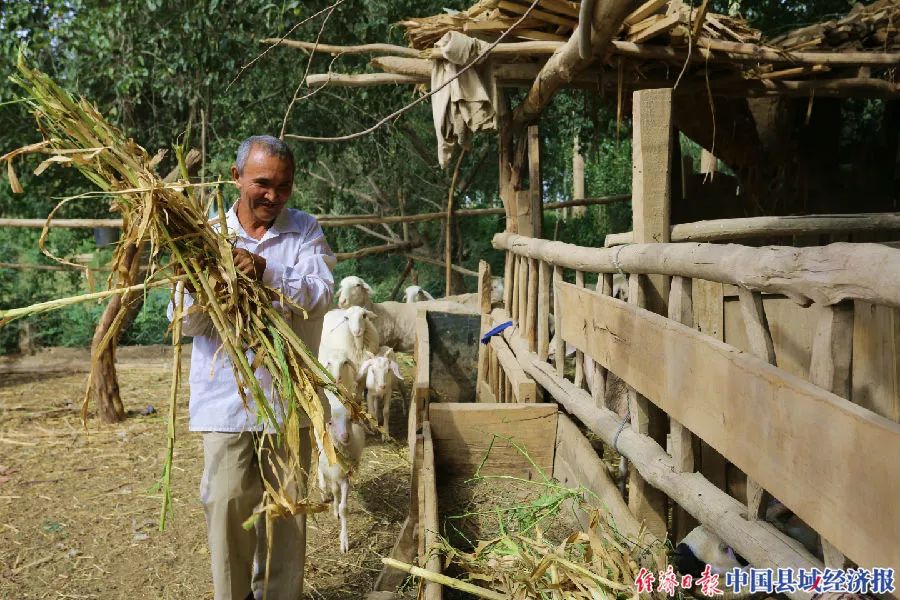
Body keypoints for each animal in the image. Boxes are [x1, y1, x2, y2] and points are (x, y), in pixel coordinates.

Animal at [312, 390, 362, 552]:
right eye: (330, 422)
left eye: (350, 419)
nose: (345, 436)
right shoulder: (333, 471)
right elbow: (334, 490)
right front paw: (334, 508)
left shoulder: (345, 475)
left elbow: (344, 508)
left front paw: (344, 541)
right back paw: (323, 490)